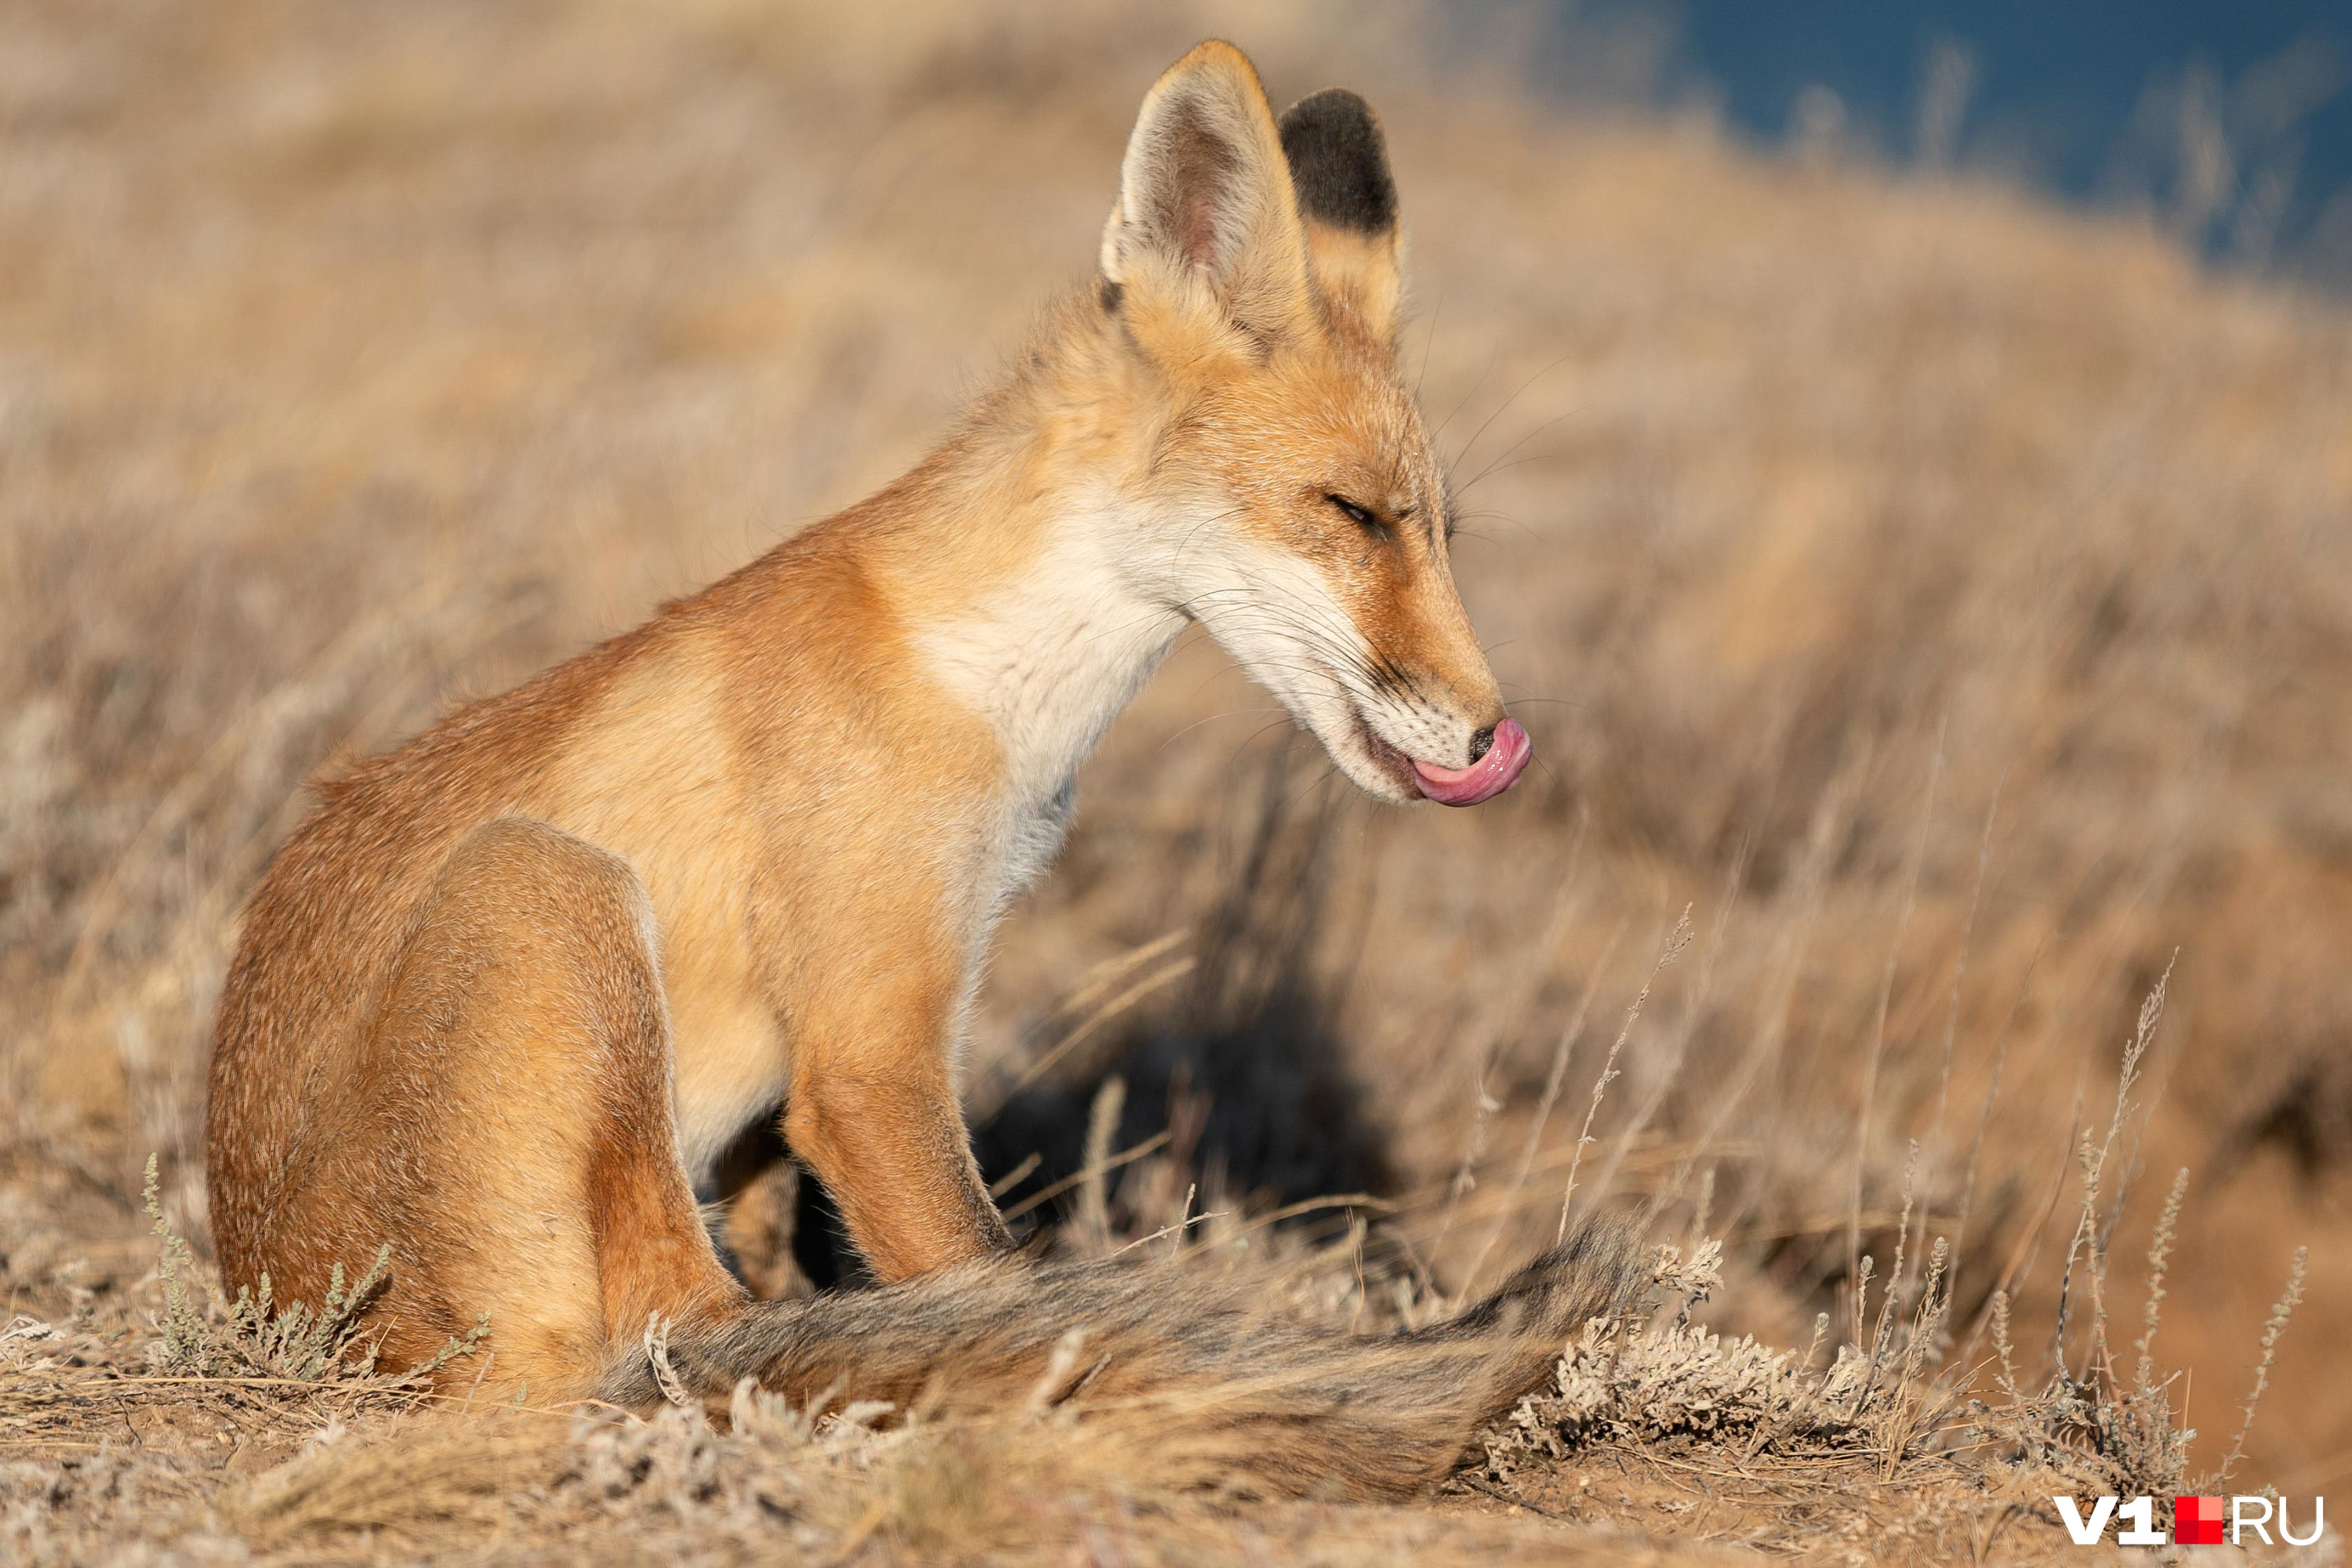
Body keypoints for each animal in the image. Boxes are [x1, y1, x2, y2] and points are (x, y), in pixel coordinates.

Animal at [202, 42, 1646, 1504]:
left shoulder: (809, 1079)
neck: (981, 673)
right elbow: (993, 1281)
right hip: (549, 881)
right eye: (1352, 515)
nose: (1492, 738)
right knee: (685, 1318)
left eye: (1445, 533)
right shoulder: (868, 1056)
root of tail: (275, 1293)